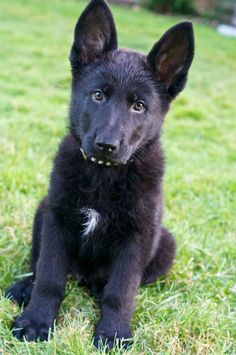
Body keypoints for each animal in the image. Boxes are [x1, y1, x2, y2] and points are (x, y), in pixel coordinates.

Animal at [6, 0, 195, 350]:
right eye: (97, 95)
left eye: (138, 106)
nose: (107, 145)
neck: (103, 175)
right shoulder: (58, 220)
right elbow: (49, 277)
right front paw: (36, 321)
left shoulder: (137, 236)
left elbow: (120, 292)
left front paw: (113, 333)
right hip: (42, 209)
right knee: (38, 265)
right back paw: (26, 287)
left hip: (165, 243)